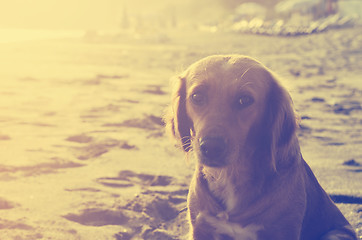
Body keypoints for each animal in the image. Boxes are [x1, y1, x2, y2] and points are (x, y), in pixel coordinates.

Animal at [165, 55, 358, 239]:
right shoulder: (201, 229)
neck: (231, 176)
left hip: (337, 234)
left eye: (244, 100)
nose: (211, 147)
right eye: (197, 97)